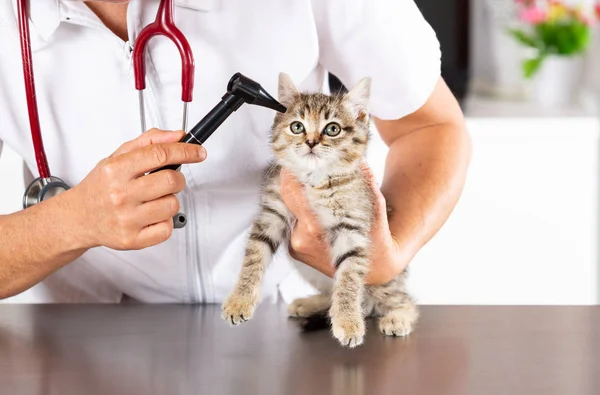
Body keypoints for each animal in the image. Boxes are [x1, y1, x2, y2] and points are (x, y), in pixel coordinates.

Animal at [221, 72, 418, 348]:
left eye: (332, 129)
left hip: (385, 278)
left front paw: (348, 321)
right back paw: (311, 303)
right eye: (297, 127)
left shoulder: (351, 228)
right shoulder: (271, 214)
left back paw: (396, 317)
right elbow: (254, 255)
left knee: (401, 300)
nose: (311, 142)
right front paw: (239, 300)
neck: (314, 180)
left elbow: (348, 278)